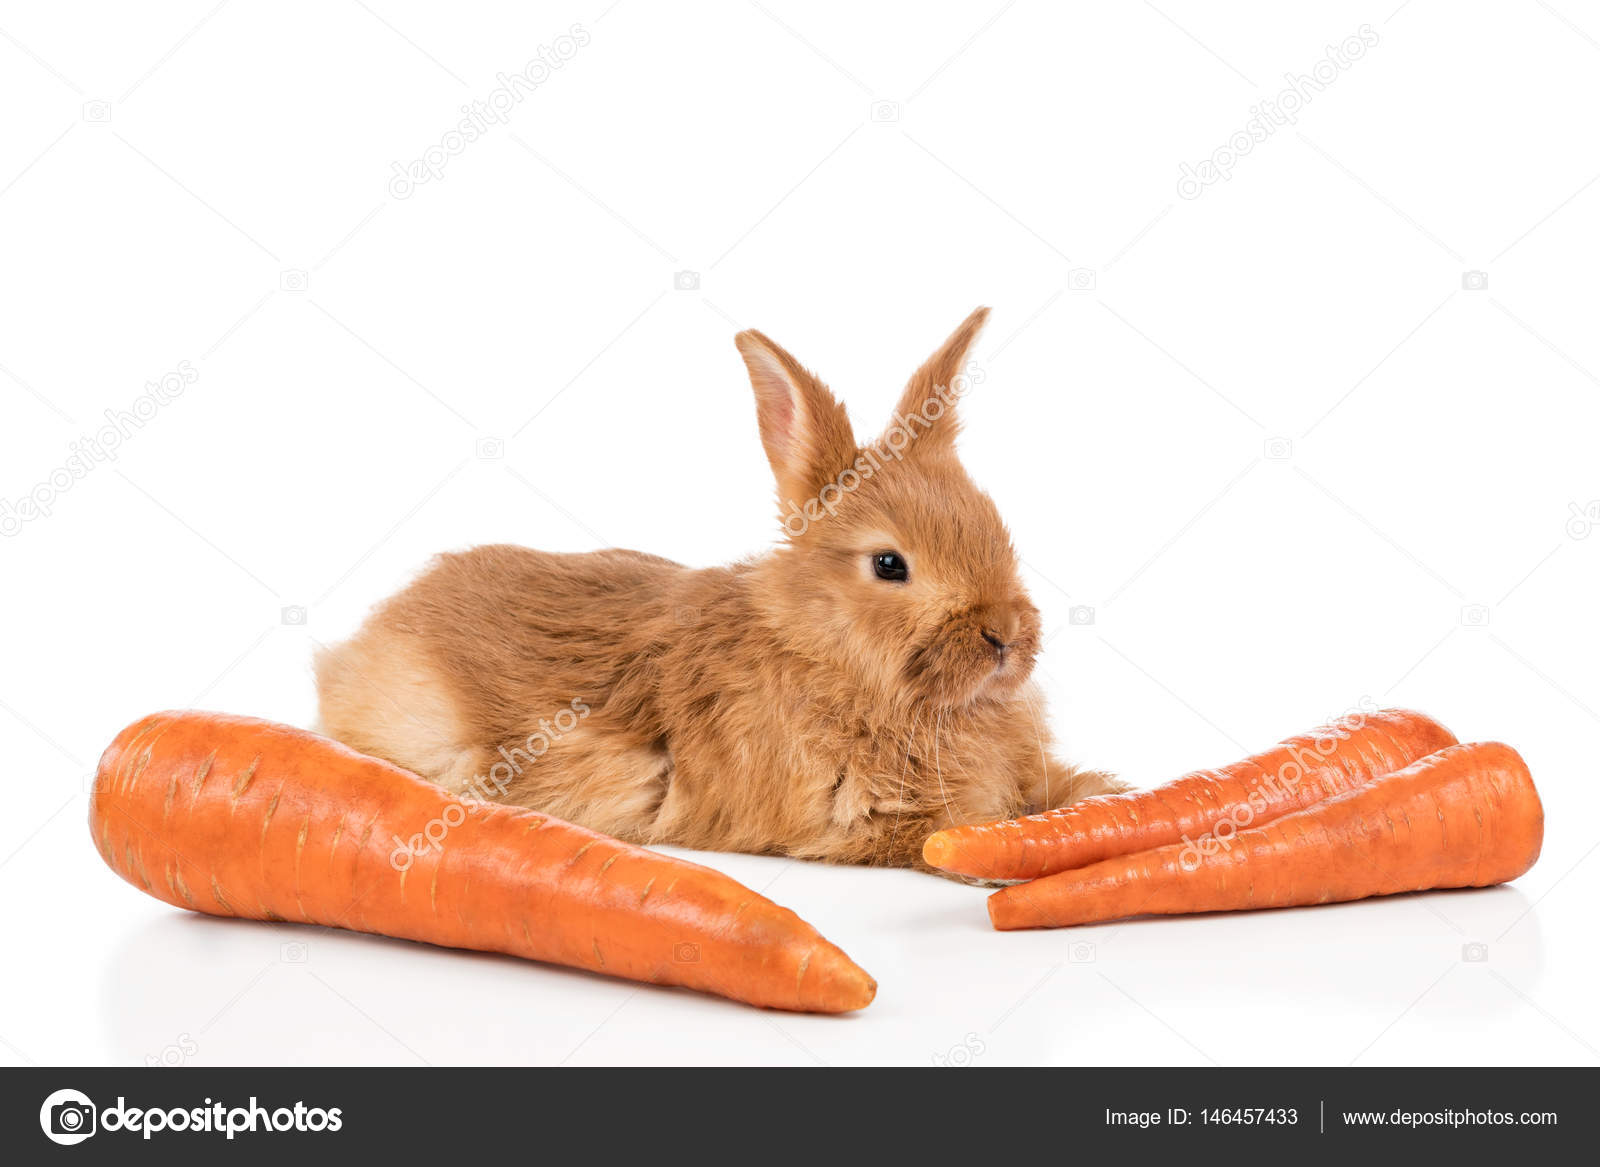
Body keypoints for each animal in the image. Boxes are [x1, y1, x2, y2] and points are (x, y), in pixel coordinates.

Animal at [315, 306, 1127, 873]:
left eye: (996, 524)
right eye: (889, 564)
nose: (1005, 636)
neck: (823, 654)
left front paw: (1104, 793)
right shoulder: (858, 817)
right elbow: (957, 831)